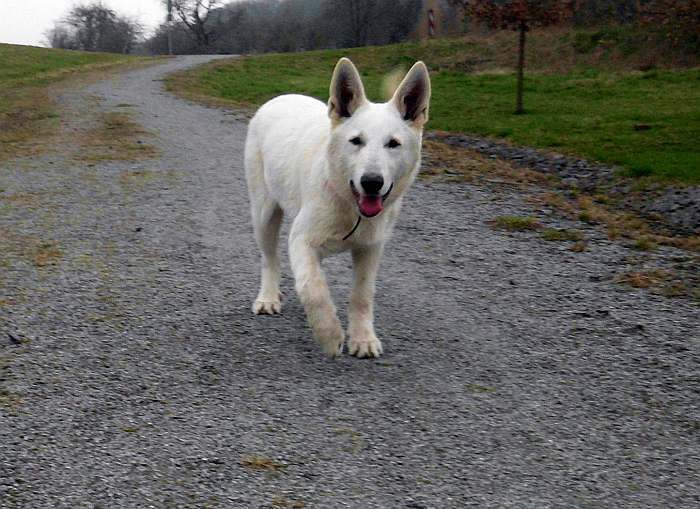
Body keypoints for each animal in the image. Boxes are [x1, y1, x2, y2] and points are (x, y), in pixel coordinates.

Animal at [246, 56, 432, 358]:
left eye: (393, 144)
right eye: (356, 141)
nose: (372, 182)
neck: (349, 204)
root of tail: (279, 98)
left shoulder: (371, 248)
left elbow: (362, 295)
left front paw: (363, 338)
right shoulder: (301, 240)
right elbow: (313, 290)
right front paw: (330, 335)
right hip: (264, 215)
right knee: (270, 259)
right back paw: (268, 297)